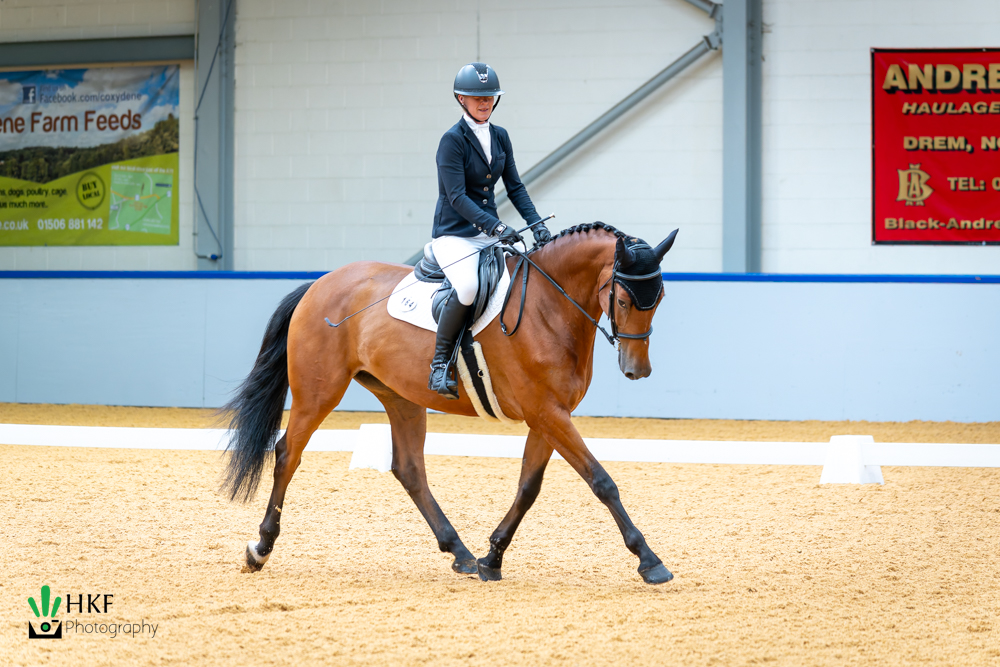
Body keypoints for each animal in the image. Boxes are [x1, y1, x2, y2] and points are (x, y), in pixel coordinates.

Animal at [223, 222, 678, 585]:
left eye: (658, 300)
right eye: (623, 300)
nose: (638, 370)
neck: (548, 307)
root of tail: (319, 284)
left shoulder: (548, 415)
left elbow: (528, 487)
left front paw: (492, 557)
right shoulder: (547, 413)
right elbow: (601, 481)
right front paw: (649, 561)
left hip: (400, 396)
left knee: (408, 468)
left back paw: (459, 552)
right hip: (319, 391)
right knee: (287, 453)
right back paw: (259, 549)